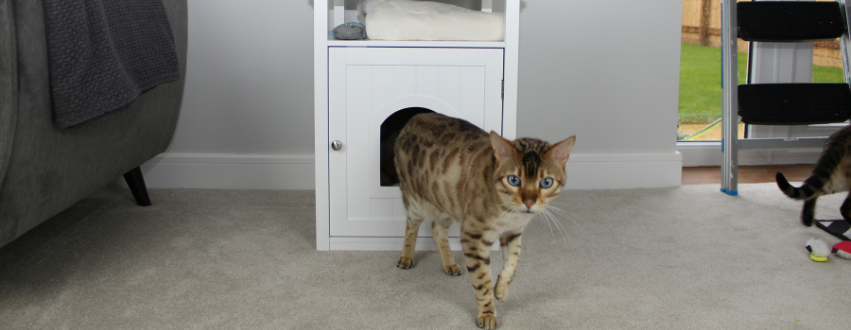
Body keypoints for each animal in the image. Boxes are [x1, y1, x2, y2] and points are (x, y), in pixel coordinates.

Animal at [396, 112, 576, 328]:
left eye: (546, 182)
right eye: (514, 180)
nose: (529, 202)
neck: (510, 214)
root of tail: (414, 117)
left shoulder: (513, 233)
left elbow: (512, 265)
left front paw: (501, 291)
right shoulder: (473, 237)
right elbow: (482, 282)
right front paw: (488, 315)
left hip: (447, 204)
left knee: (436, 229)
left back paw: (450, 265)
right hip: (416, 202)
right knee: (411, 226)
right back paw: (406, 258)